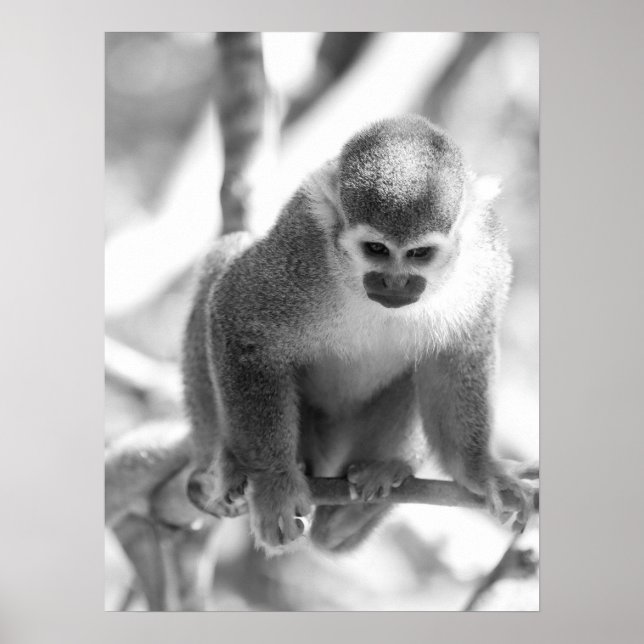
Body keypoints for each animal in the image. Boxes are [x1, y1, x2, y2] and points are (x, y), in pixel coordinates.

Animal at [181, 114, 533, 554]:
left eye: (419, 254)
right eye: (376, 249)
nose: (395, 283)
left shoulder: (488, 258)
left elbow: (460, 354)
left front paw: (477, 469)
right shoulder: (301, 250)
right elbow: (240, 317)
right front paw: (274, 481)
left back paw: (372, 487)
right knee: (228, 252)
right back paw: (226, 461)